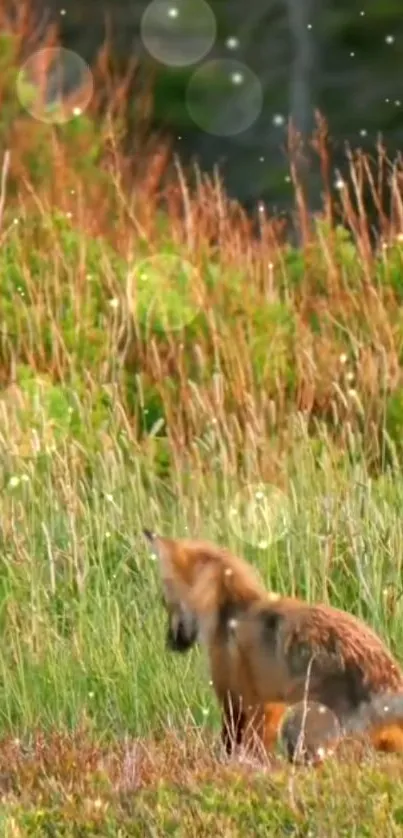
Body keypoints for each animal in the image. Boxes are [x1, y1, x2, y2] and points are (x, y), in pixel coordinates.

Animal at [143, 536, 403, 764]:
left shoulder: (239, 698)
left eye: (165, 602)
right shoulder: (270, 703)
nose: (169, 643)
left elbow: (238, 744)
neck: (231, 611)